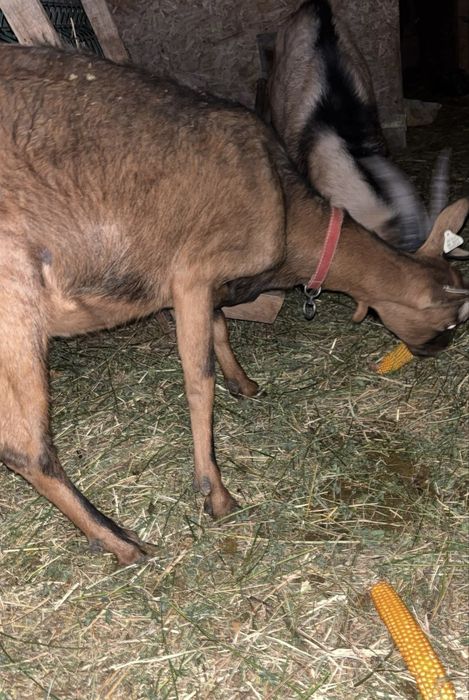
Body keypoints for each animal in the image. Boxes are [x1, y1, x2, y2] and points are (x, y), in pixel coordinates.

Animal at [0, 45, 468, 565]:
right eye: (452, 321)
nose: (437, 351)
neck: (285, 208)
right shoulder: (191, 272)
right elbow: (198, 379)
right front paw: (217, 495)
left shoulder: (192, 286)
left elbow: (221, 329)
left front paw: (244, 383)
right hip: (16, 303)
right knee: (24, 447)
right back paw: (120, 542)